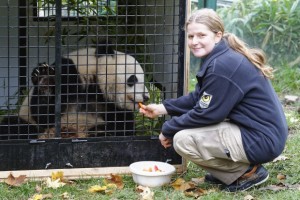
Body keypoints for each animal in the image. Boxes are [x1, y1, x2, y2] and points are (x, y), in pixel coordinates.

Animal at [0, 41, 150, 140]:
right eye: (133, 79)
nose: (146, 97)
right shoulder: (69, 72)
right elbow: (43, 116)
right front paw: (45, 80)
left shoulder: (113, 106)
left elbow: (124, 127)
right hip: (33, 126)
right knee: (13, 126)